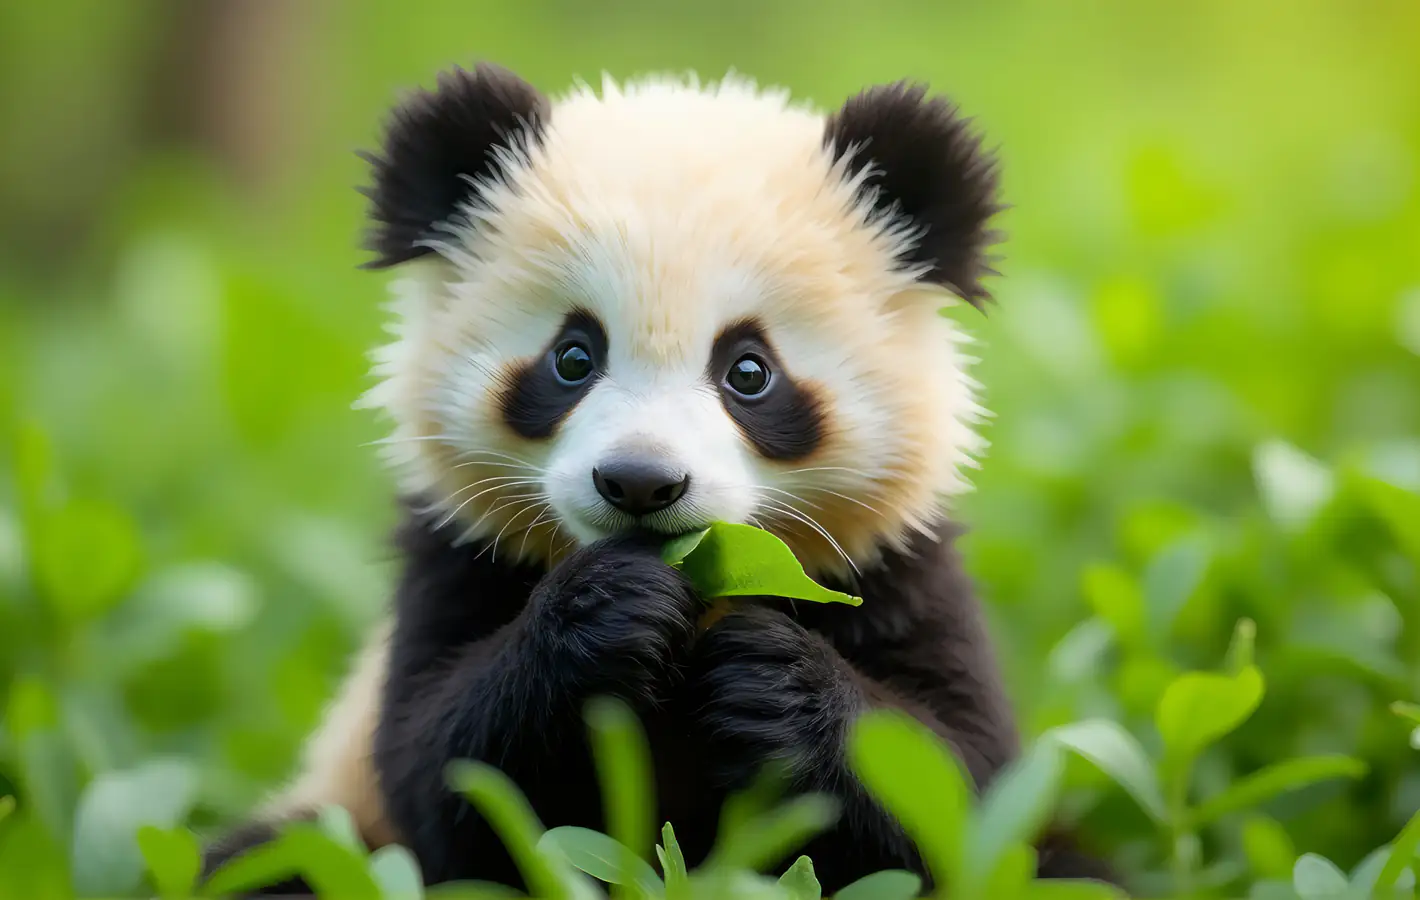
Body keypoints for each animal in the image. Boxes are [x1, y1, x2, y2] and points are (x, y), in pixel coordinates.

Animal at [201, 62, 1114, 894]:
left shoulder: (895, 566)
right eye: (573, 356)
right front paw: (611, 611)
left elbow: (953, 784)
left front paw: (770, 677)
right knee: (272, 862)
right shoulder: (458, 557)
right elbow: (441, 770)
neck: (700, 587)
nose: (640, 483)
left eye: (749, 371)